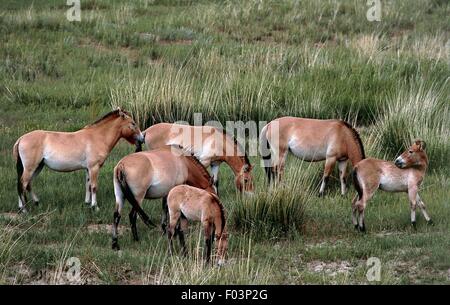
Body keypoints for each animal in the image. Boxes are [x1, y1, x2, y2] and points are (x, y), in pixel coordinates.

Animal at [12, 108, 142, 211]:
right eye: (133, 123)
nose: (141, 138)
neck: (97, 137)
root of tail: (21, 138)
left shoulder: (88, 169)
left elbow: (88, 185)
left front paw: (88, 203)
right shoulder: (94, 167)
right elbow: (94, 186)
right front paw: (95, 207)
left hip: (38, 167)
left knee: (27, 184)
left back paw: (34, 202)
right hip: (31, 168)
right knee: (22, 183)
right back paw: (24, 209)